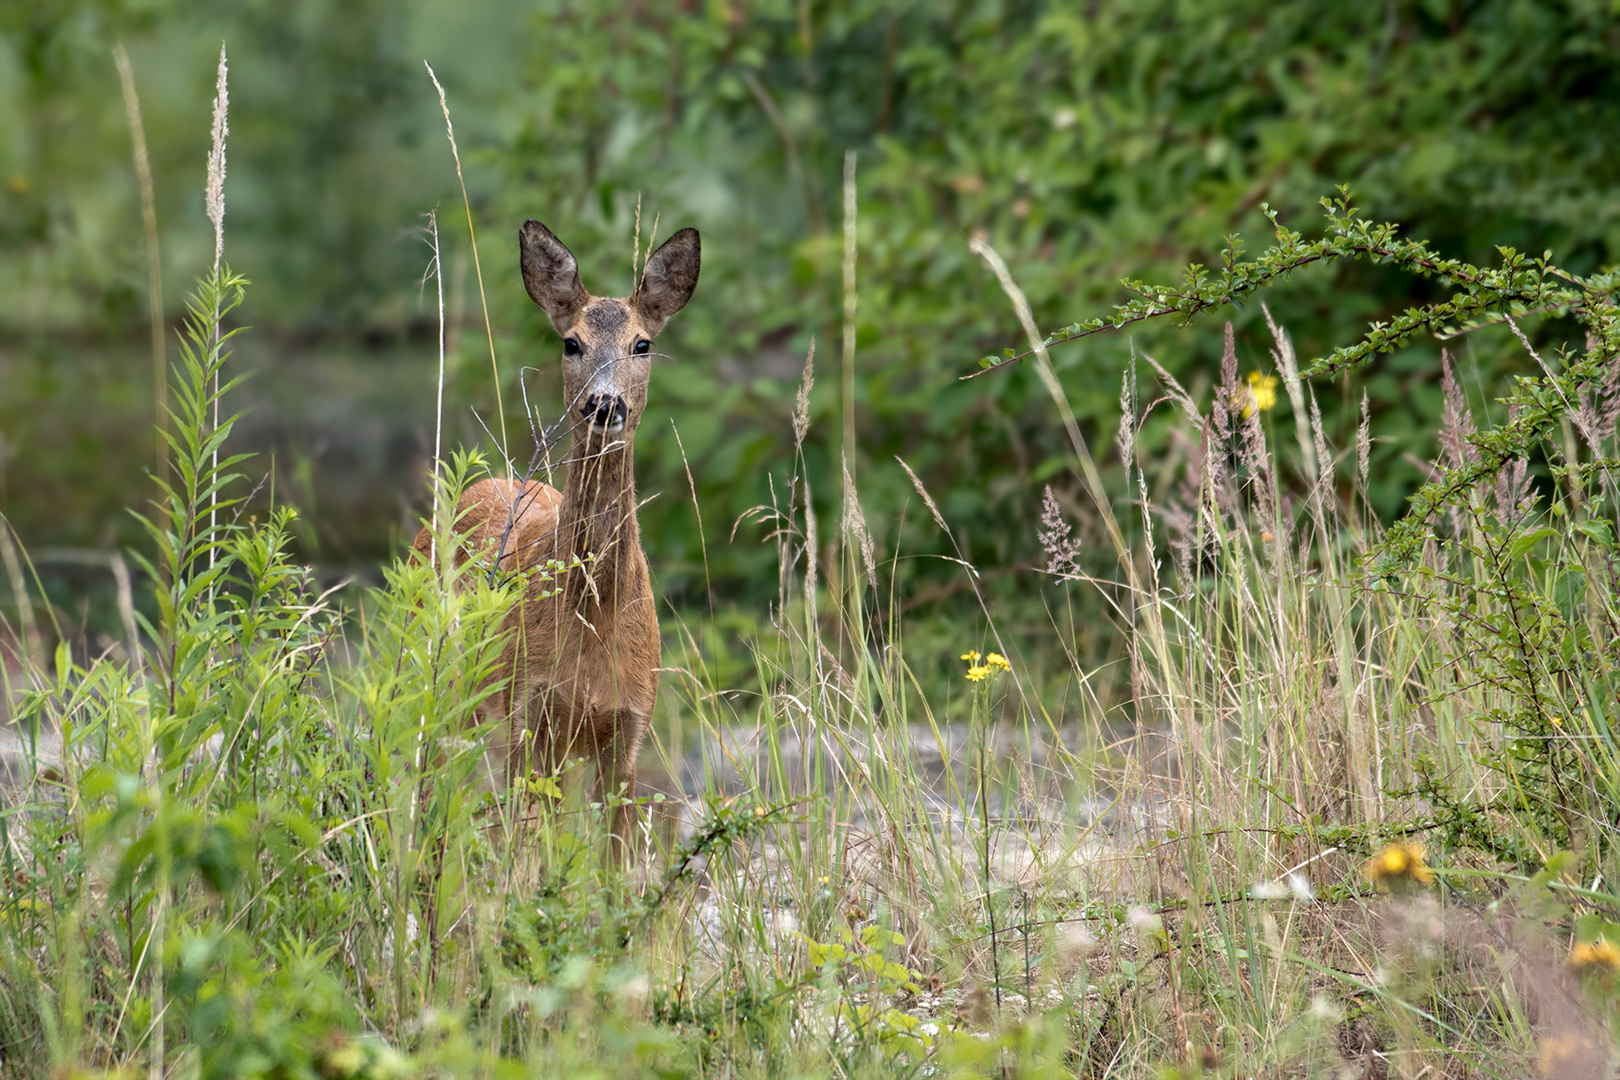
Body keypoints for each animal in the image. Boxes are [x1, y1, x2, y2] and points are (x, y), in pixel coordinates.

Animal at [414, 221, 699, 854]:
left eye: (643, 344)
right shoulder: (528, 709)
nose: (604, 402)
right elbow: (529, 854)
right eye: (571, 343)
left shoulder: (631, 725)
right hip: (441, 675)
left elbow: (612, 859)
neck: (593, 619)